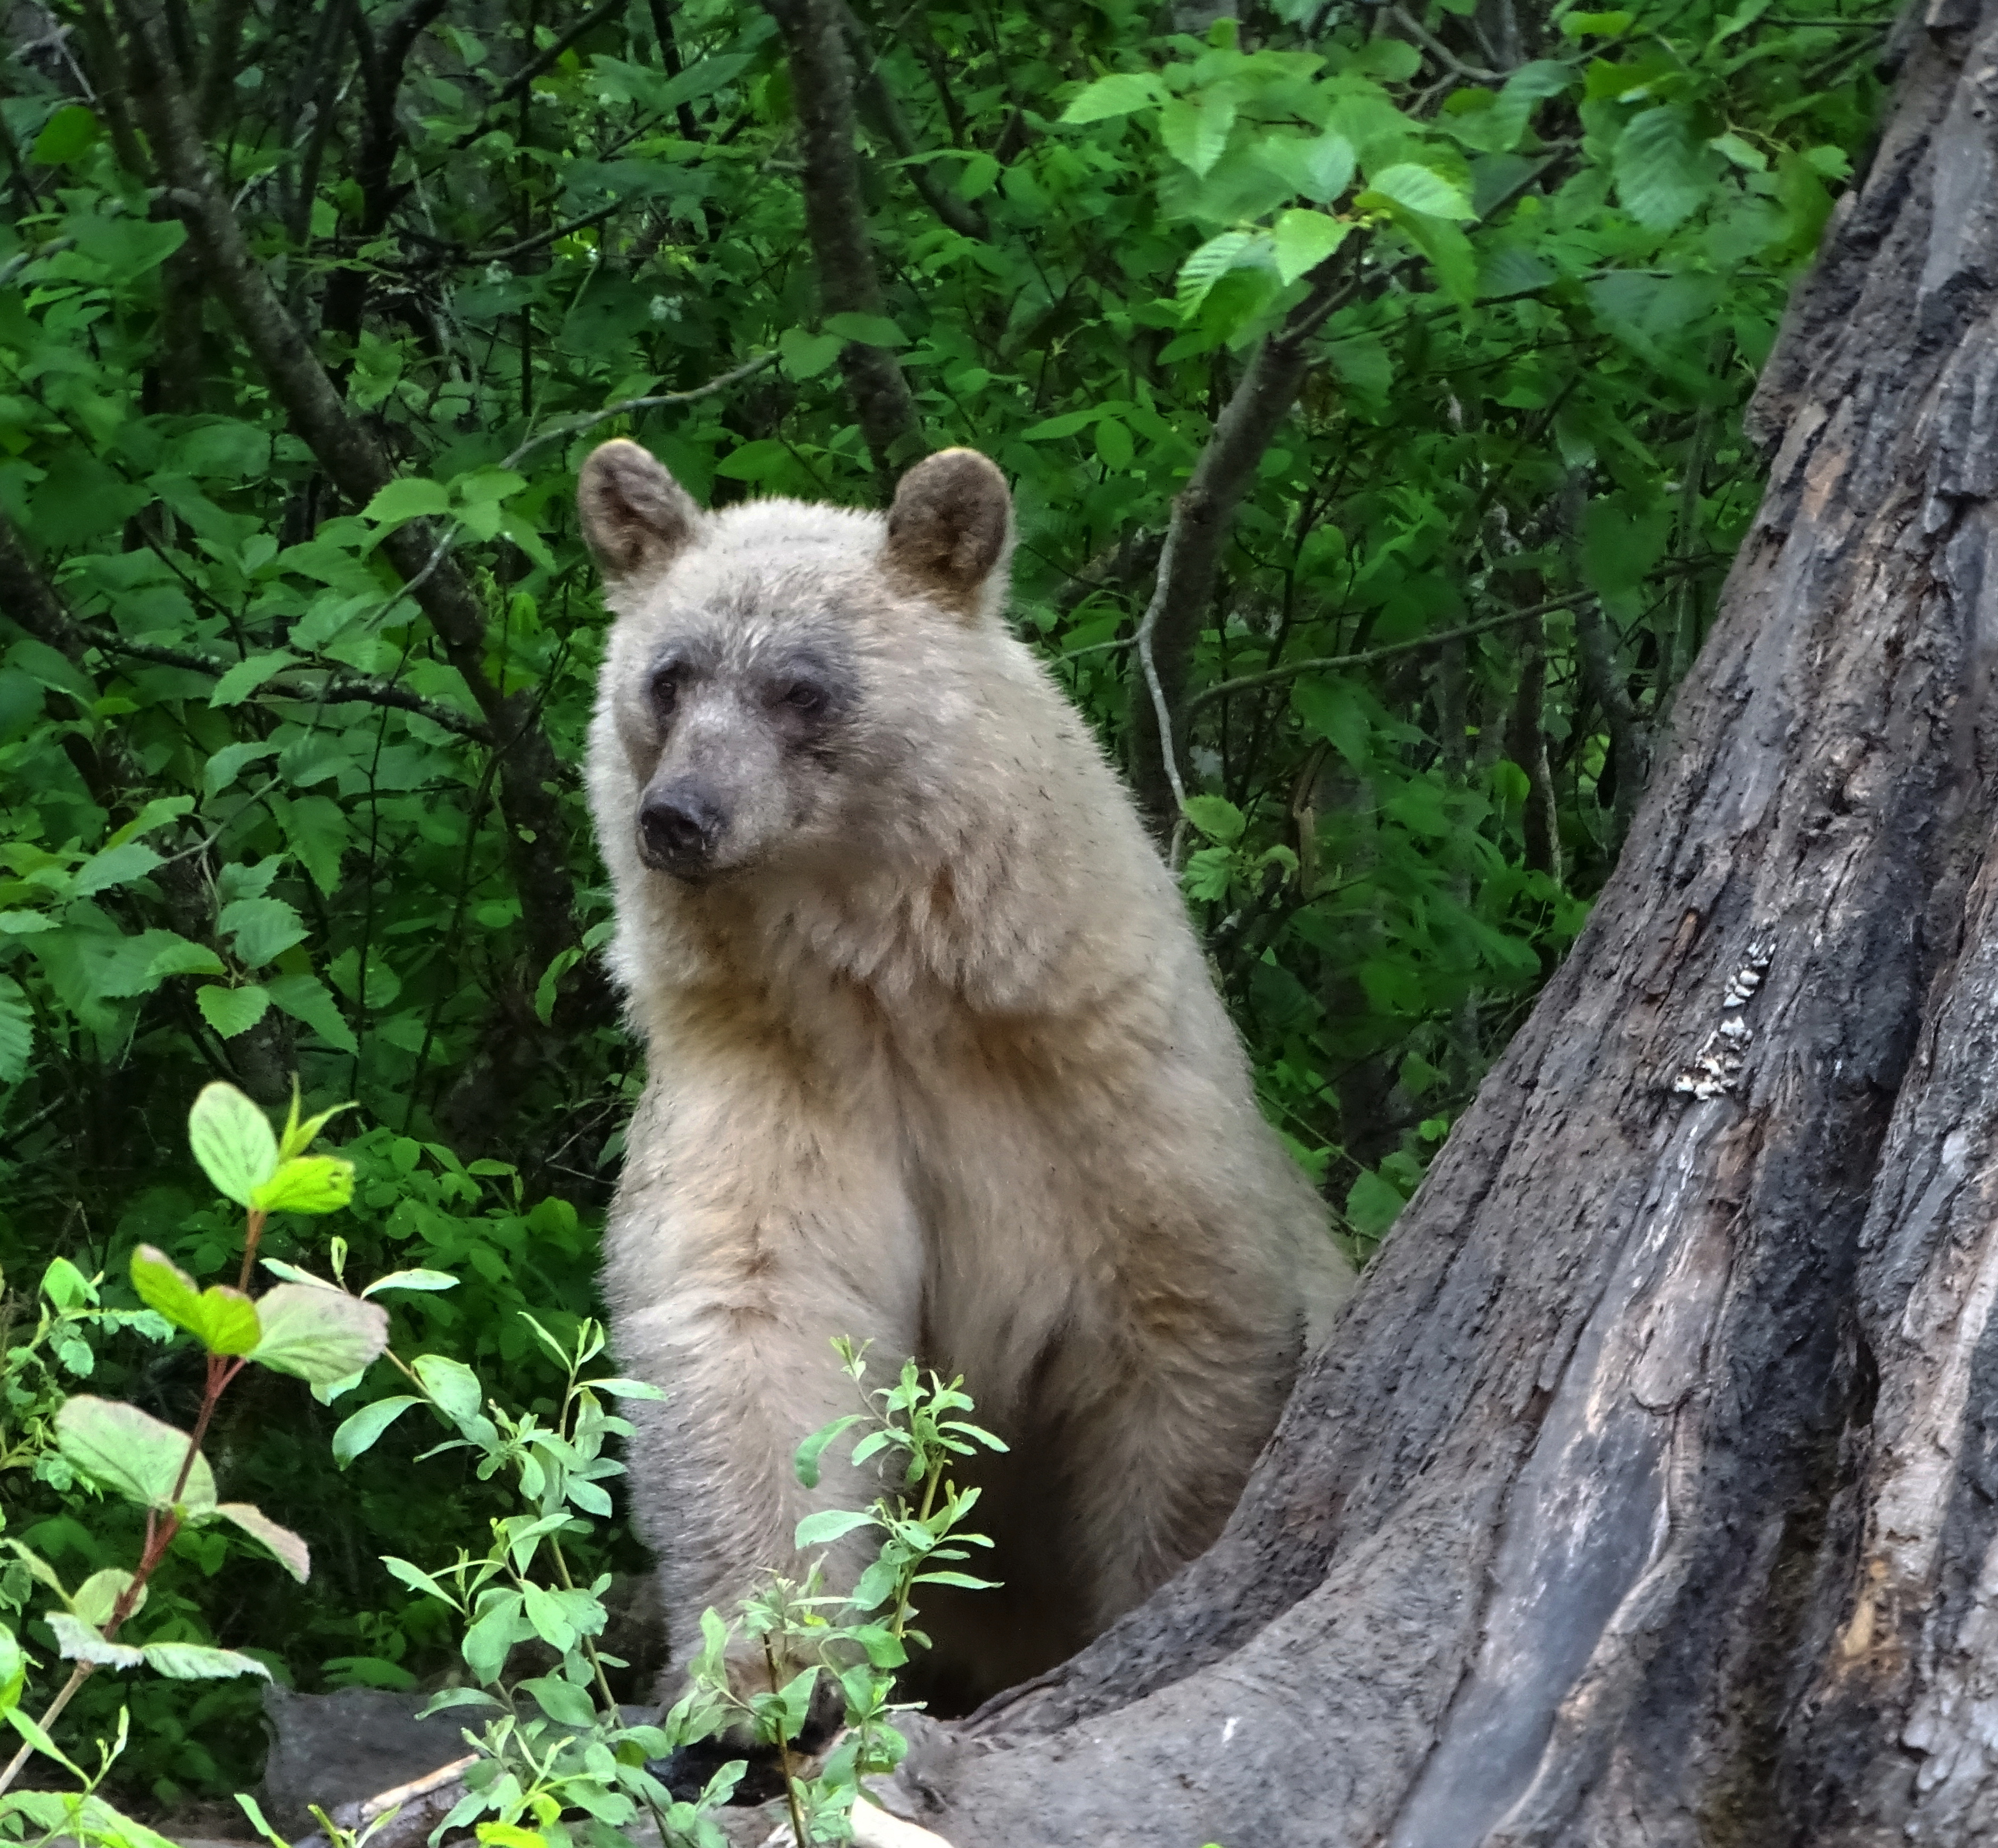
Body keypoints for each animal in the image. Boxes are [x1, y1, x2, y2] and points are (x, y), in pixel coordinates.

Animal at [576, 438, 1354, 1721]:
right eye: (669, 675)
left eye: (802, 686)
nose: (679, 815)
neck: (890, 986)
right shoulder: (773, 1070)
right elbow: (754, 1316)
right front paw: (763, 1667)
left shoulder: (1104, 1089)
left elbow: (1183, 1331)